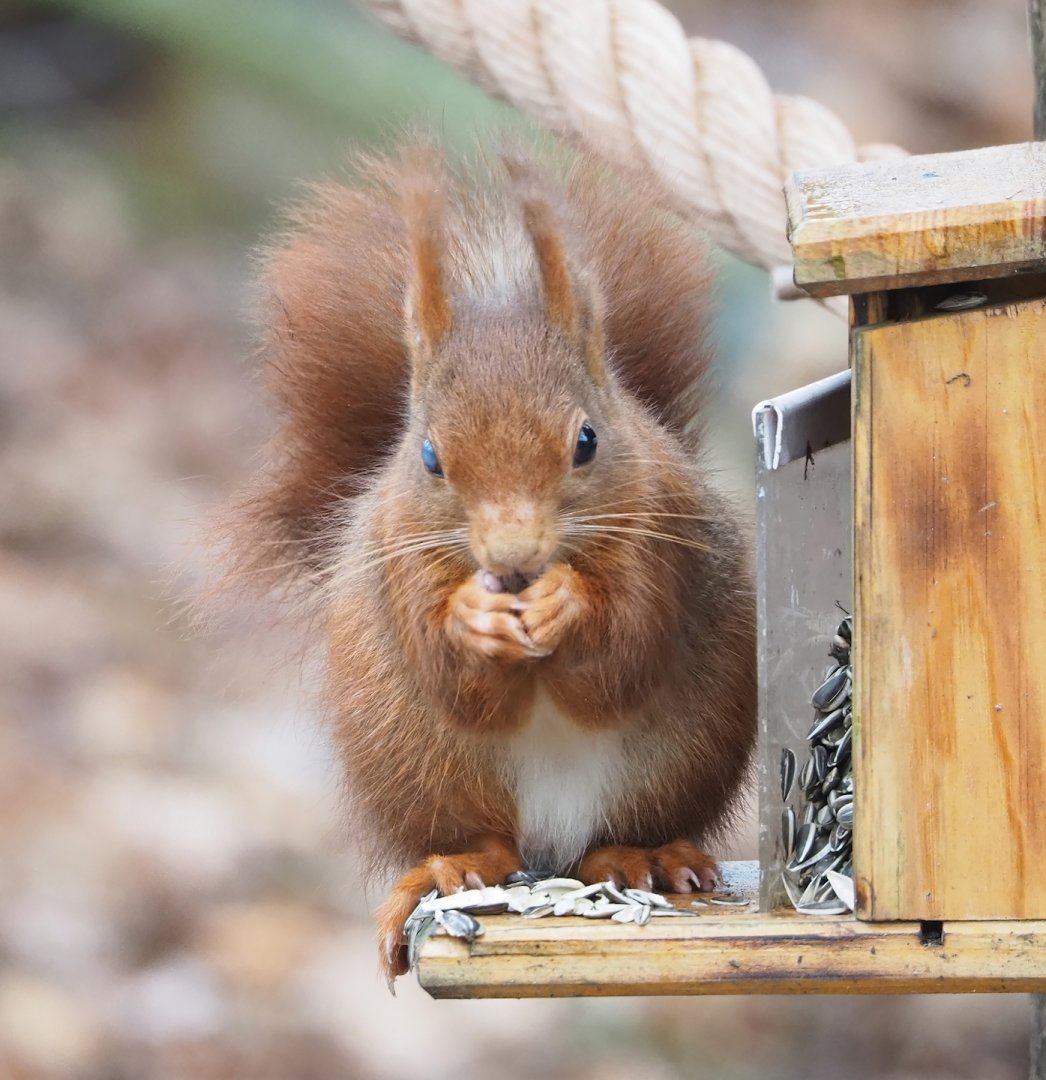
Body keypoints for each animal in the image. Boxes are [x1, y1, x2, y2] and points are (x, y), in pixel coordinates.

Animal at [226, 142, 756, 983]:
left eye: (588, 440)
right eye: (429, 457)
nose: (511, 558)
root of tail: (553, 847)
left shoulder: (662, 535)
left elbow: (627, 654)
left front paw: (567, 604)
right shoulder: (399, 557)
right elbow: (455, 677)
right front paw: (475, 618)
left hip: (679, 760)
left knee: (617, 831)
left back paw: (640, 858)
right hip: (418, 766)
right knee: (487, 844)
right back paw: (453, 869)